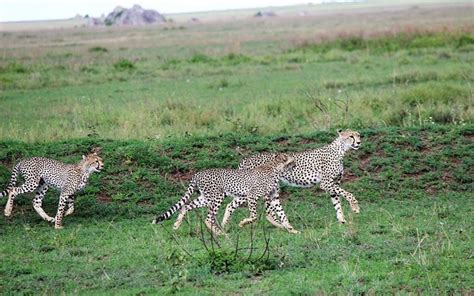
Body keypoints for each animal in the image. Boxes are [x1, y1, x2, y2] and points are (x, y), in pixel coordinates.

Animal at [154, 154, 298, 235]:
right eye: (292, 161)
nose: (296, 166)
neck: (276, 168)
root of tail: (198, 173)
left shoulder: (273, 198)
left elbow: (282, 215)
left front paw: (292, 229)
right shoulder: (252, 195)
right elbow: (254, 216)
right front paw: (243, 223)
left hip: (206, 198)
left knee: (186, 206)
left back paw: (176, 225)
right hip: (216, 198)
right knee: (208, 218)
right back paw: (219, 233)